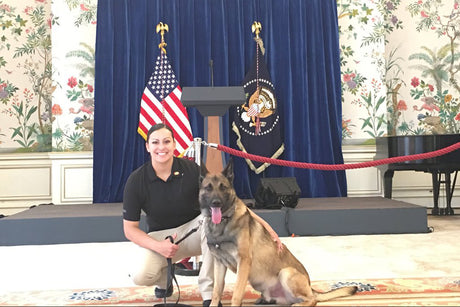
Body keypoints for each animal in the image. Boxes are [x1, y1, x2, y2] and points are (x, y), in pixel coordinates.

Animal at [199, 162, 358, 306]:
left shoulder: (243, 261)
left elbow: (237, 294)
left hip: (286, 273)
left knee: (312, 300)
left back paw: (298, 304)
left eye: (223, 187)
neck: (222, 223)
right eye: (208, 188)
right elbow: (216, 292)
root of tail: (310, 287)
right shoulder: (219, 264)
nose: (216, 202)